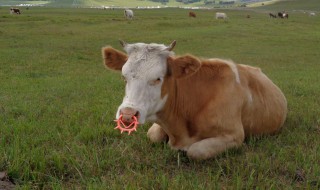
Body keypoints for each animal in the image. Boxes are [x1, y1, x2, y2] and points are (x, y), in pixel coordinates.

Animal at [102, 40, 288, 160]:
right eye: (123, 77)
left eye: (158, 78)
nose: (127, 114)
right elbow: (153, 135)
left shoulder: (234, 135)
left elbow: (196, 151)